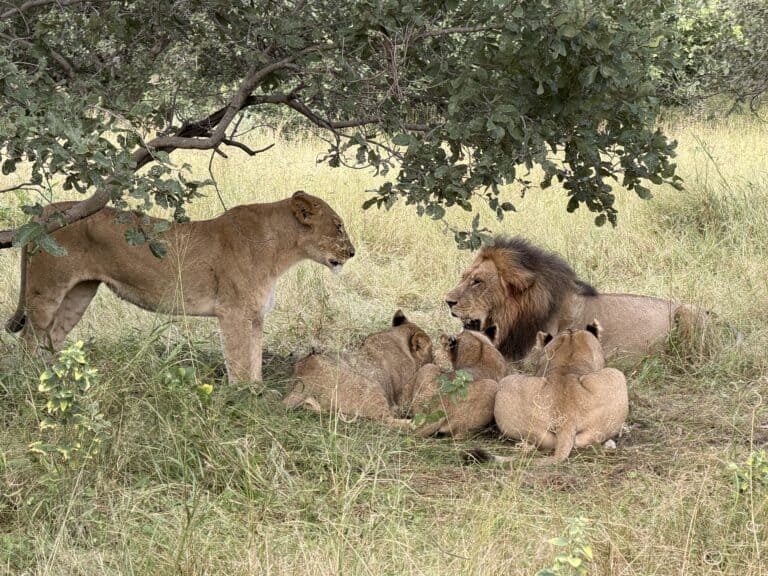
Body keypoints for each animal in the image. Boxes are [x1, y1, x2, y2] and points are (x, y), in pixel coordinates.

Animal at [5, 190, 355, 382]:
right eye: (338, 226)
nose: (352, 253)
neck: (283, 249)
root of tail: (44, 213)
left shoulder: (254, 316)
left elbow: (254, 359)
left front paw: (254, 392)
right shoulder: (234, 312)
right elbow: (239, 360)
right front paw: (243, 397)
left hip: (80, 292)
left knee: (53, 336)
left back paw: (56, 378)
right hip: (46, 290)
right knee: (29, 339)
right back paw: (31, 380)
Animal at [282, 310, 434, 427]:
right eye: (432, 353)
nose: (435, 360)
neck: (396, 337)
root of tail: (305, 381)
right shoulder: (401, 393)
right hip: (373, 388)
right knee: (387, 420)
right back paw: (418, 422)